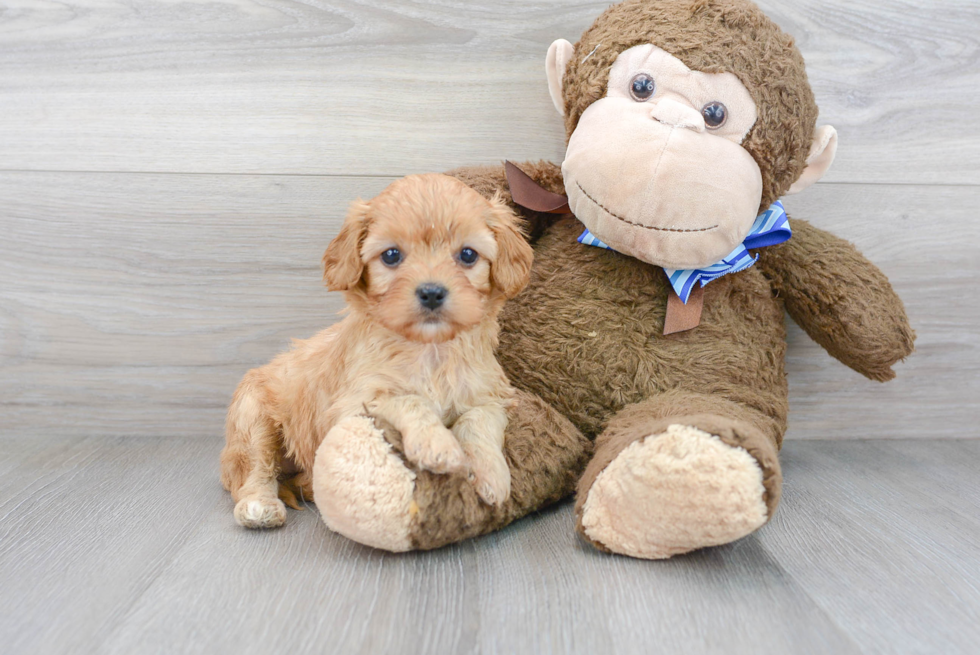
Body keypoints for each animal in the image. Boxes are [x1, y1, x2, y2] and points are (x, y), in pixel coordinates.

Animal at [221, 173, 532, 528]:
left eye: (468, 255)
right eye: (391, 255)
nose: (431, 292)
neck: (430, 352)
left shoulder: (490, 394)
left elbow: (479, 421)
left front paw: (492, 475)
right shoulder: (356, 403)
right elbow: (409, 400)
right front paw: (437, 444)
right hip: (252, 419)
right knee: (254, 469)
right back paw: (259, 505)